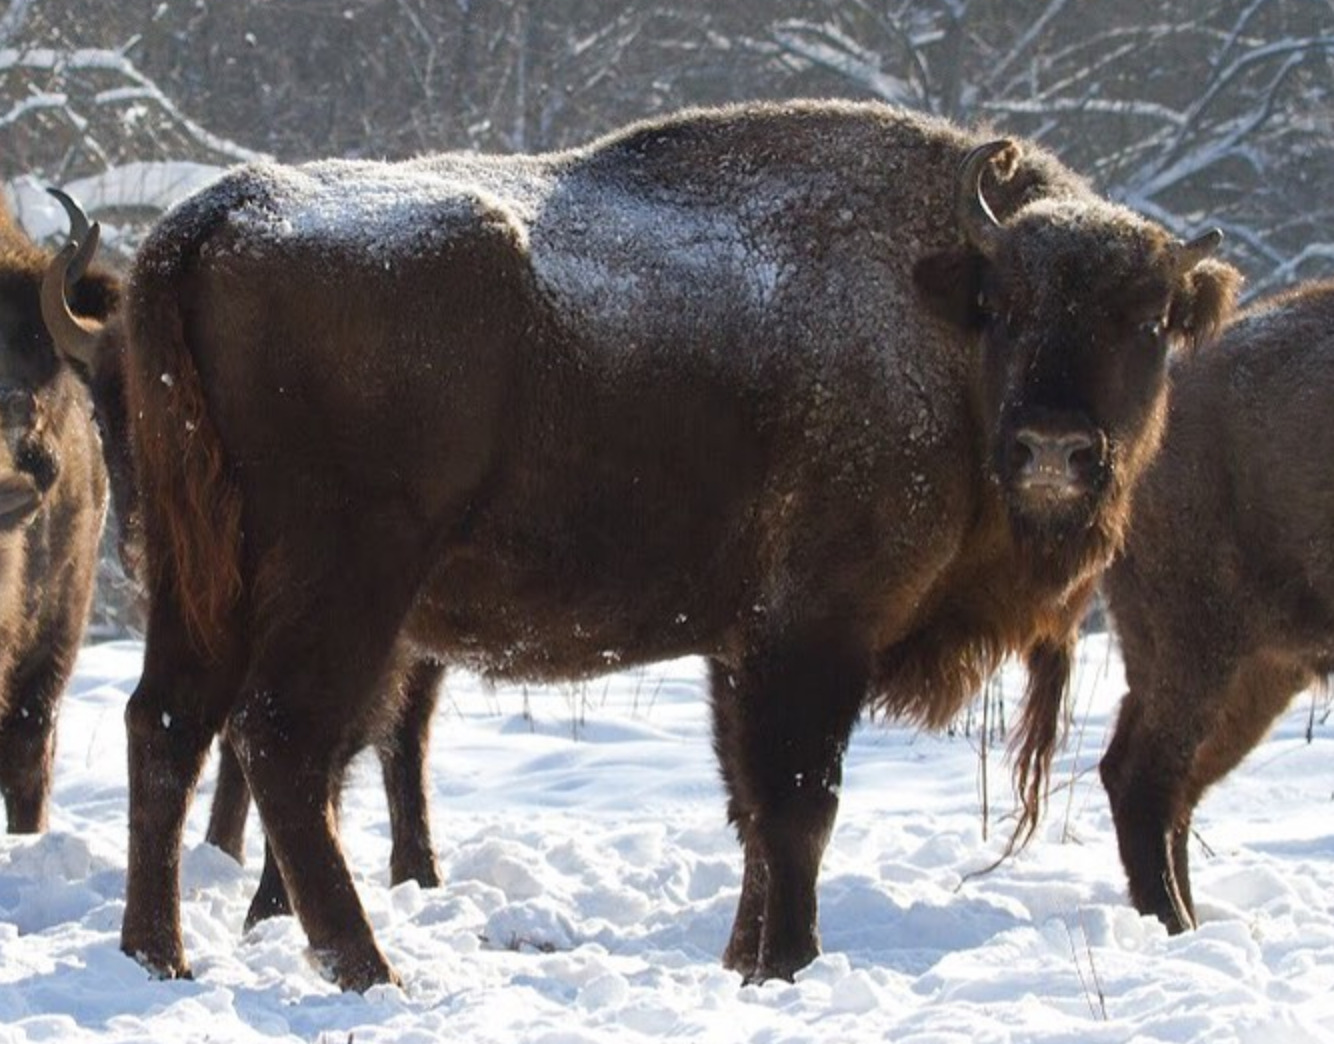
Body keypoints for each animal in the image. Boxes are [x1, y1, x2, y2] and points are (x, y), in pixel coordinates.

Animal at [37, 192, 448, 928]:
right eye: (104, 414)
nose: (142, 550)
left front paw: (271, 901)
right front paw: (228, 858)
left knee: (403, 734)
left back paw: (414, 870)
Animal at [117, 102, 1237, 992]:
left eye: (1147, 319)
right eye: (1003, 306)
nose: (1052, 447)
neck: (933, 317)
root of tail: (225, 209)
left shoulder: (739, 651)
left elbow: (750, 810)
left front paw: (744, 961)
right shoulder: (815, 630)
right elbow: (796, 805)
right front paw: (788, 964)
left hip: (200, 574)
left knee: (167, 726)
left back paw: (159, 959)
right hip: (351, 577)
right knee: (283, 742)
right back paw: (367, 972)